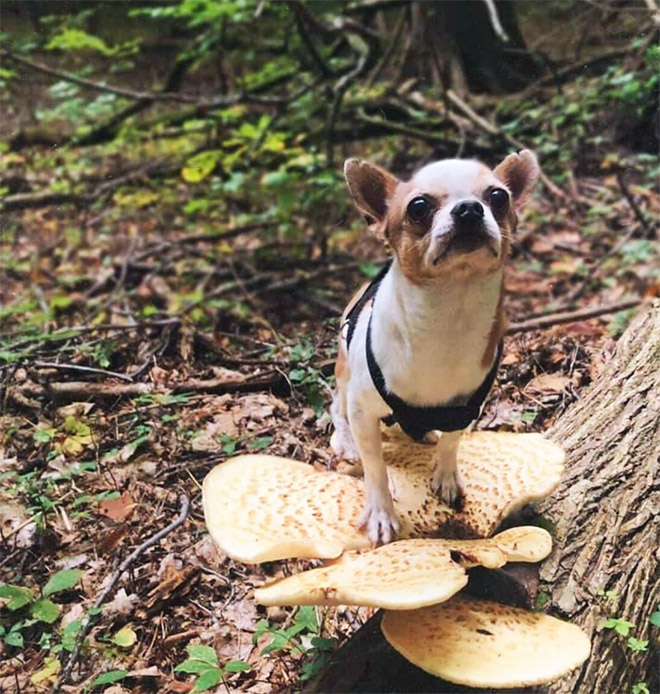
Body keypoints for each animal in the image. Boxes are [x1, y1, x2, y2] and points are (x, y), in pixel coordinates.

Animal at [332, 150, 540, 548]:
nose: (469, 209)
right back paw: (347, 441)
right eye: (418, 207)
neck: (448, 316)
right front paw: (381, 513)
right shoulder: (364, 411)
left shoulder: (467, 408)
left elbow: (453, 442)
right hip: (344, 375)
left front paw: (445, 476)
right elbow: (375, 467)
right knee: (337, 408)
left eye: (498, 197)